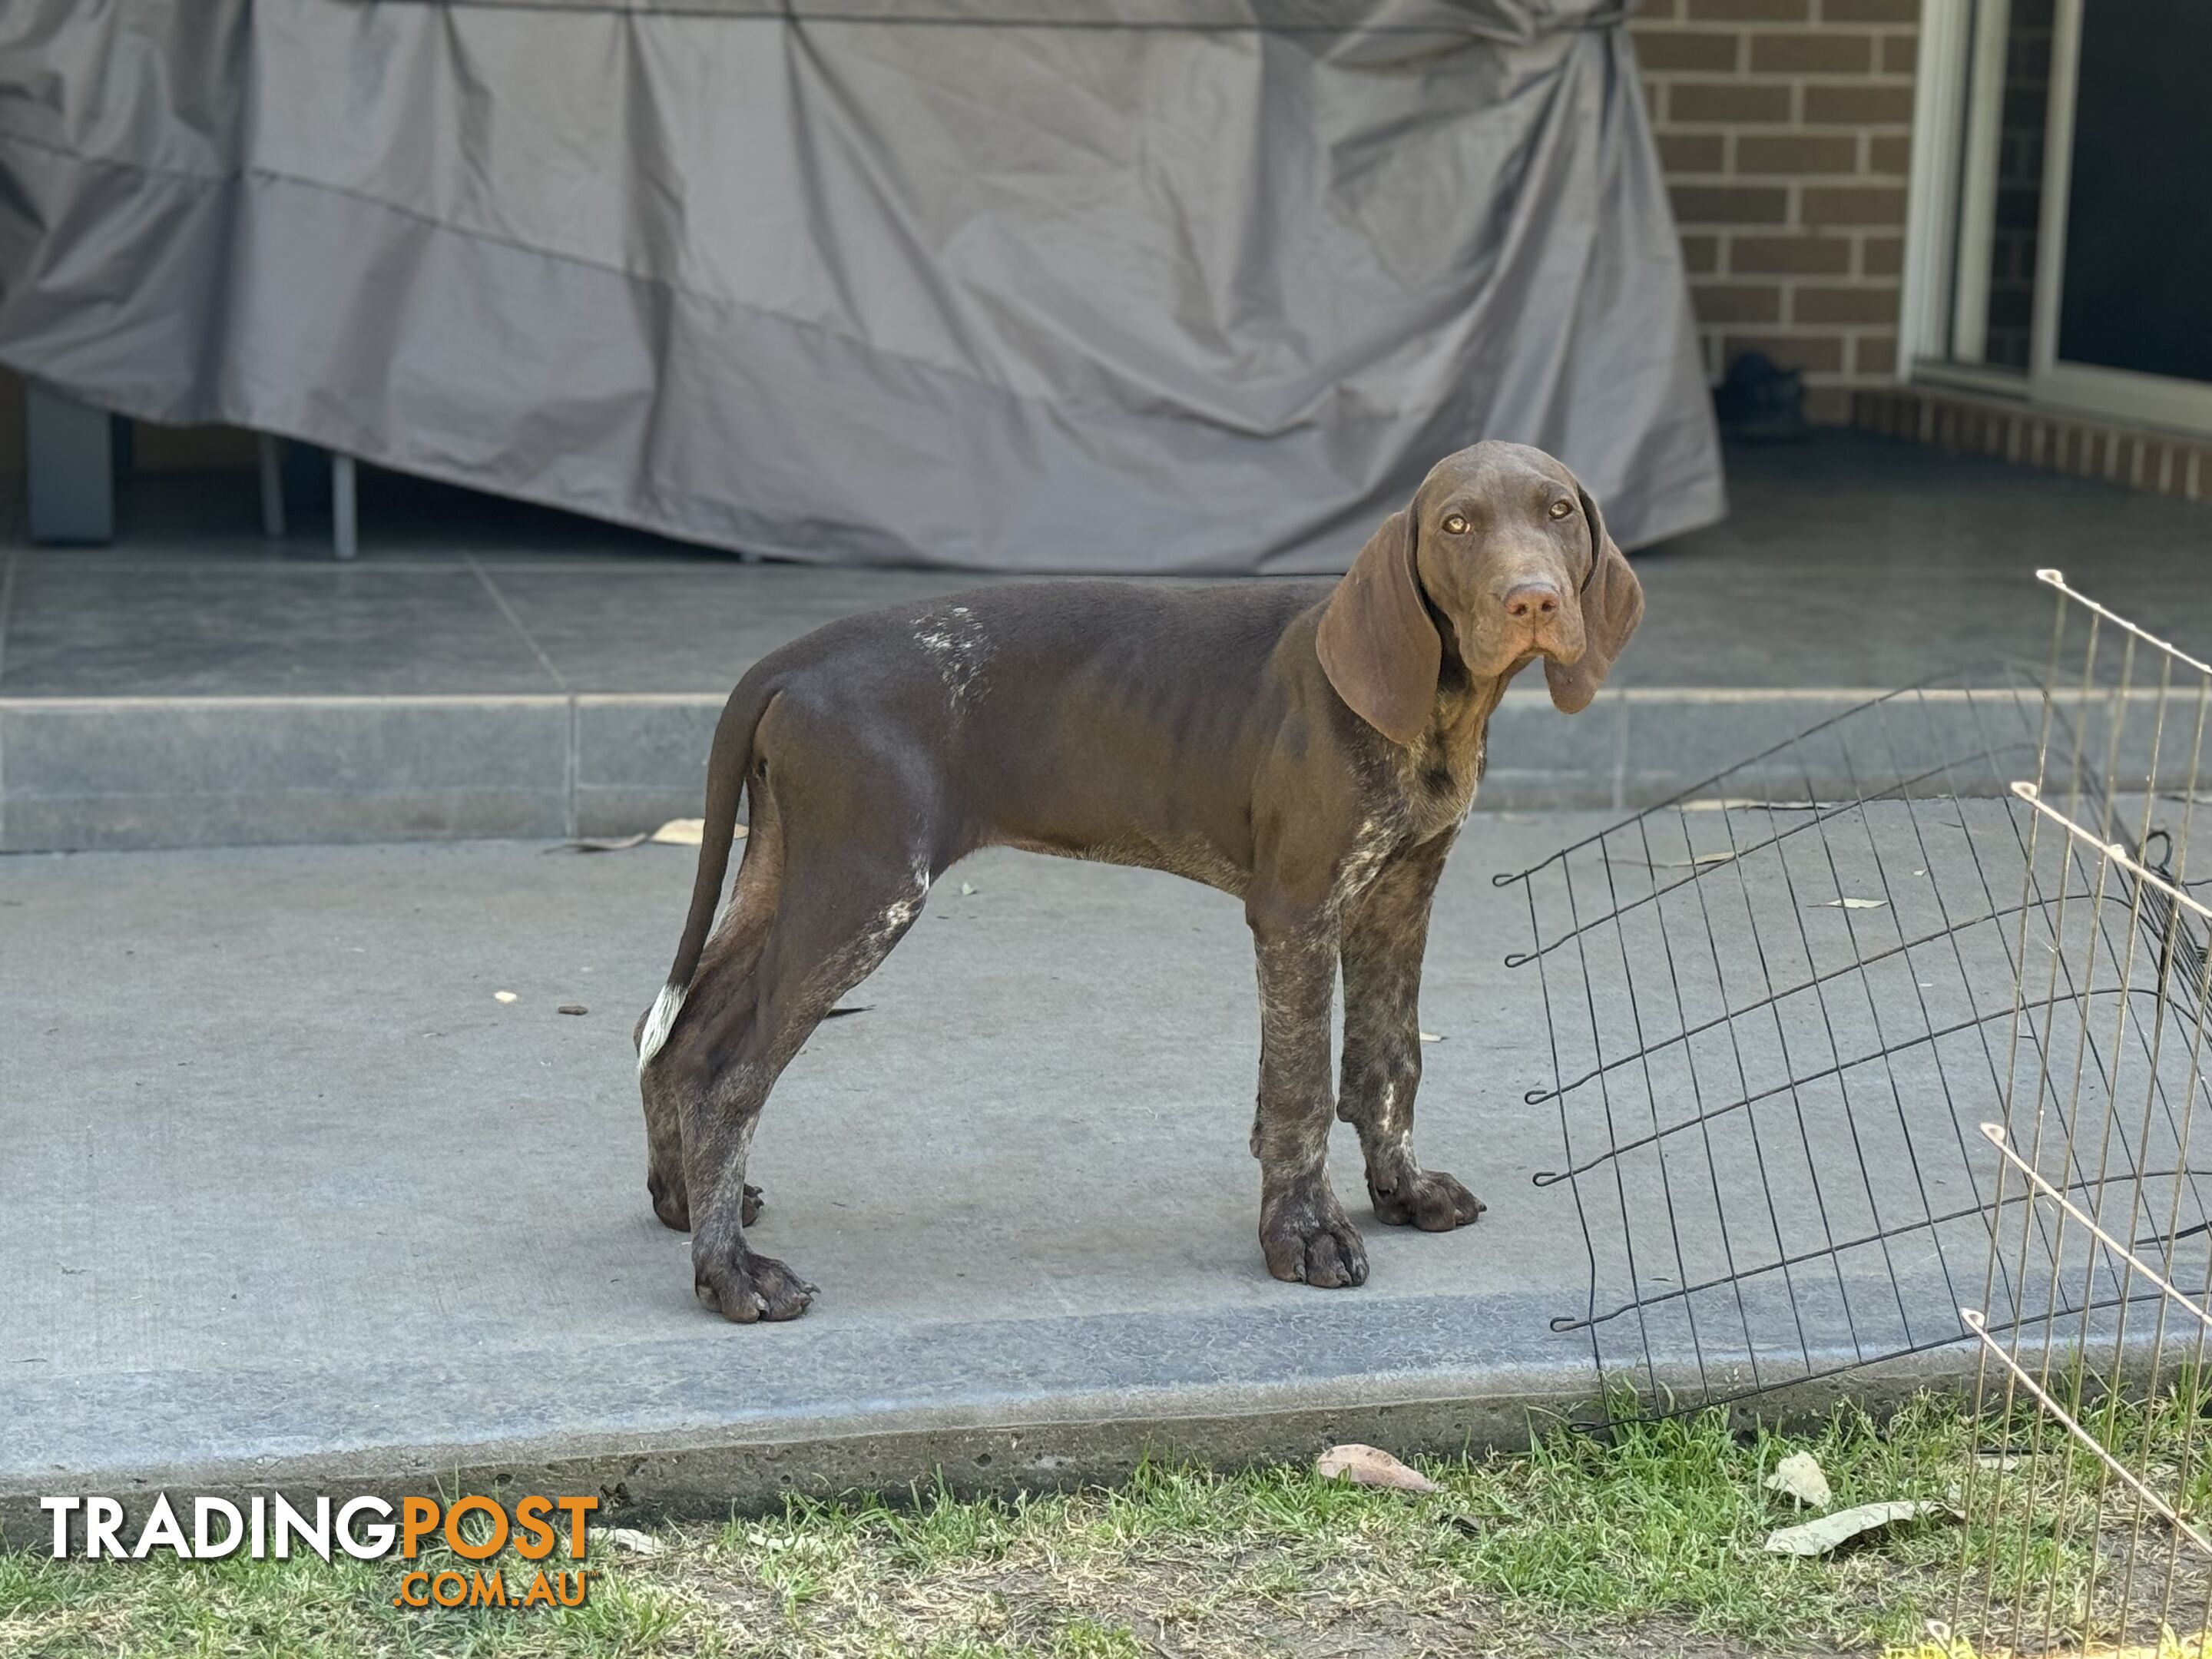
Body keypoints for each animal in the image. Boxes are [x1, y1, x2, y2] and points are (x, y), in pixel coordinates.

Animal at [632, 442, 1637, 1327]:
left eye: (1557, 512)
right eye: (1458, 524)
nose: (1534, 598)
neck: (1434, 707)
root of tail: (788, 663)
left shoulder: (1399, 899)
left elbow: (1390, 1064)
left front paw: (1403, 1189)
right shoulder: (1297, 912)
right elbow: (1302, 1090)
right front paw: (1305, 1235)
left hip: (792, 877)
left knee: (679, 1042)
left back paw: (684, 1207)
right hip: (866, 893)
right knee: (730, 1082)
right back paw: (730, 1276)